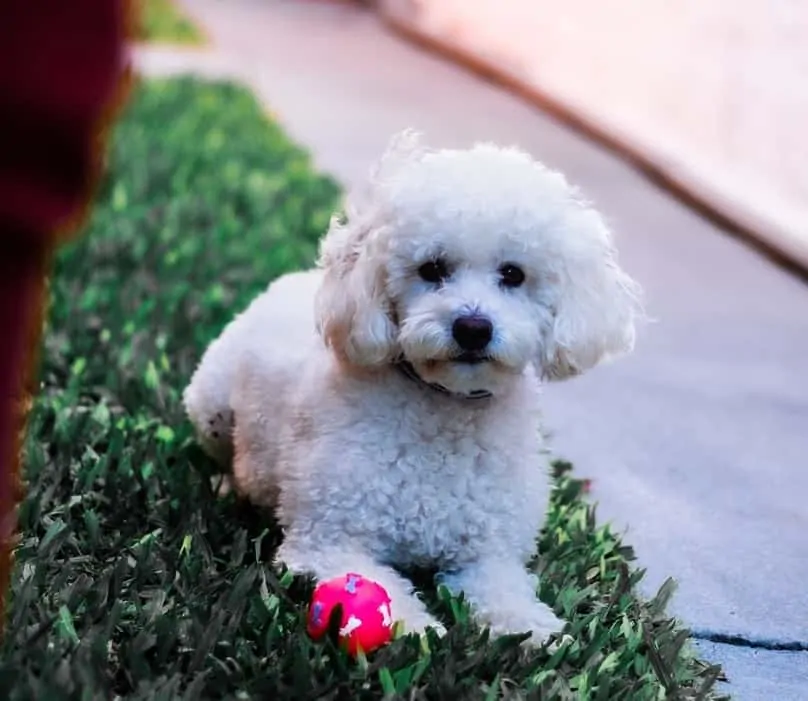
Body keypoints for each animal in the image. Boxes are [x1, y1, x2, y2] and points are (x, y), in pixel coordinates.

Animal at [185, 131, 644, 644]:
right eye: (432, 268)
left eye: (513, 274)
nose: (472, 328)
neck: (445, 408)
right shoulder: (328, 539)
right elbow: (387, 592)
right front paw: (418, 630)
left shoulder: (490, 555)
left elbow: (506, 592)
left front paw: (535, 630)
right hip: (210, 404)